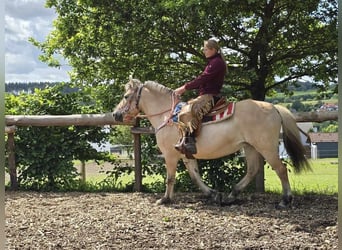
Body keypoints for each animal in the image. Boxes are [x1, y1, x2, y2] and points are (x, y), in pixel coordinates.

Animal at [113, 79, 312, 208]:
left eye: (126, 96)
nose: (116, 114)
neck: (167, 116)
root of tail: (273, 108)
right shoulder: (186, 154)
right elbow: (195, 177)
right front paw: (214, 194)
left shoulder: (170, 155)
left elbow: (170, 178)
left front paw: (165, 199)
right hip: (250, 147)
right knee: (252, 170)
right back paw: (231, 196)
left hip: (267, 147)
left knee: (281, 169)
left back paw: (285, 201)